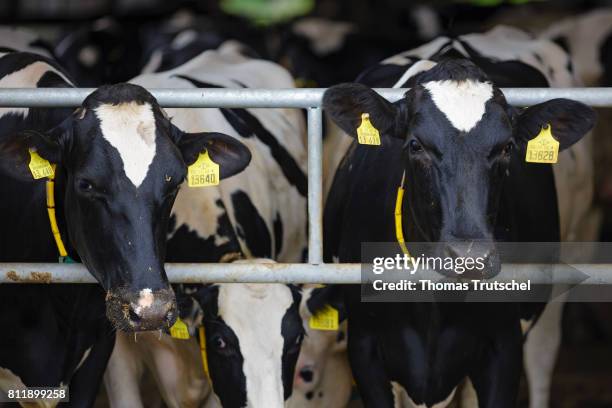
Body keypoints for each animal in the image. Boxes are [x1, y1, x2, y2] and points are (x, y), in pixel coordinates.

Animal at [318, 27, 596, 406]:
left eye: (507, 147)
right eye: (415, 145)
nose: (469, 258)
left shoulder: (503, 346)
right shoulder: (364, 348)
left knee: (543, 355)